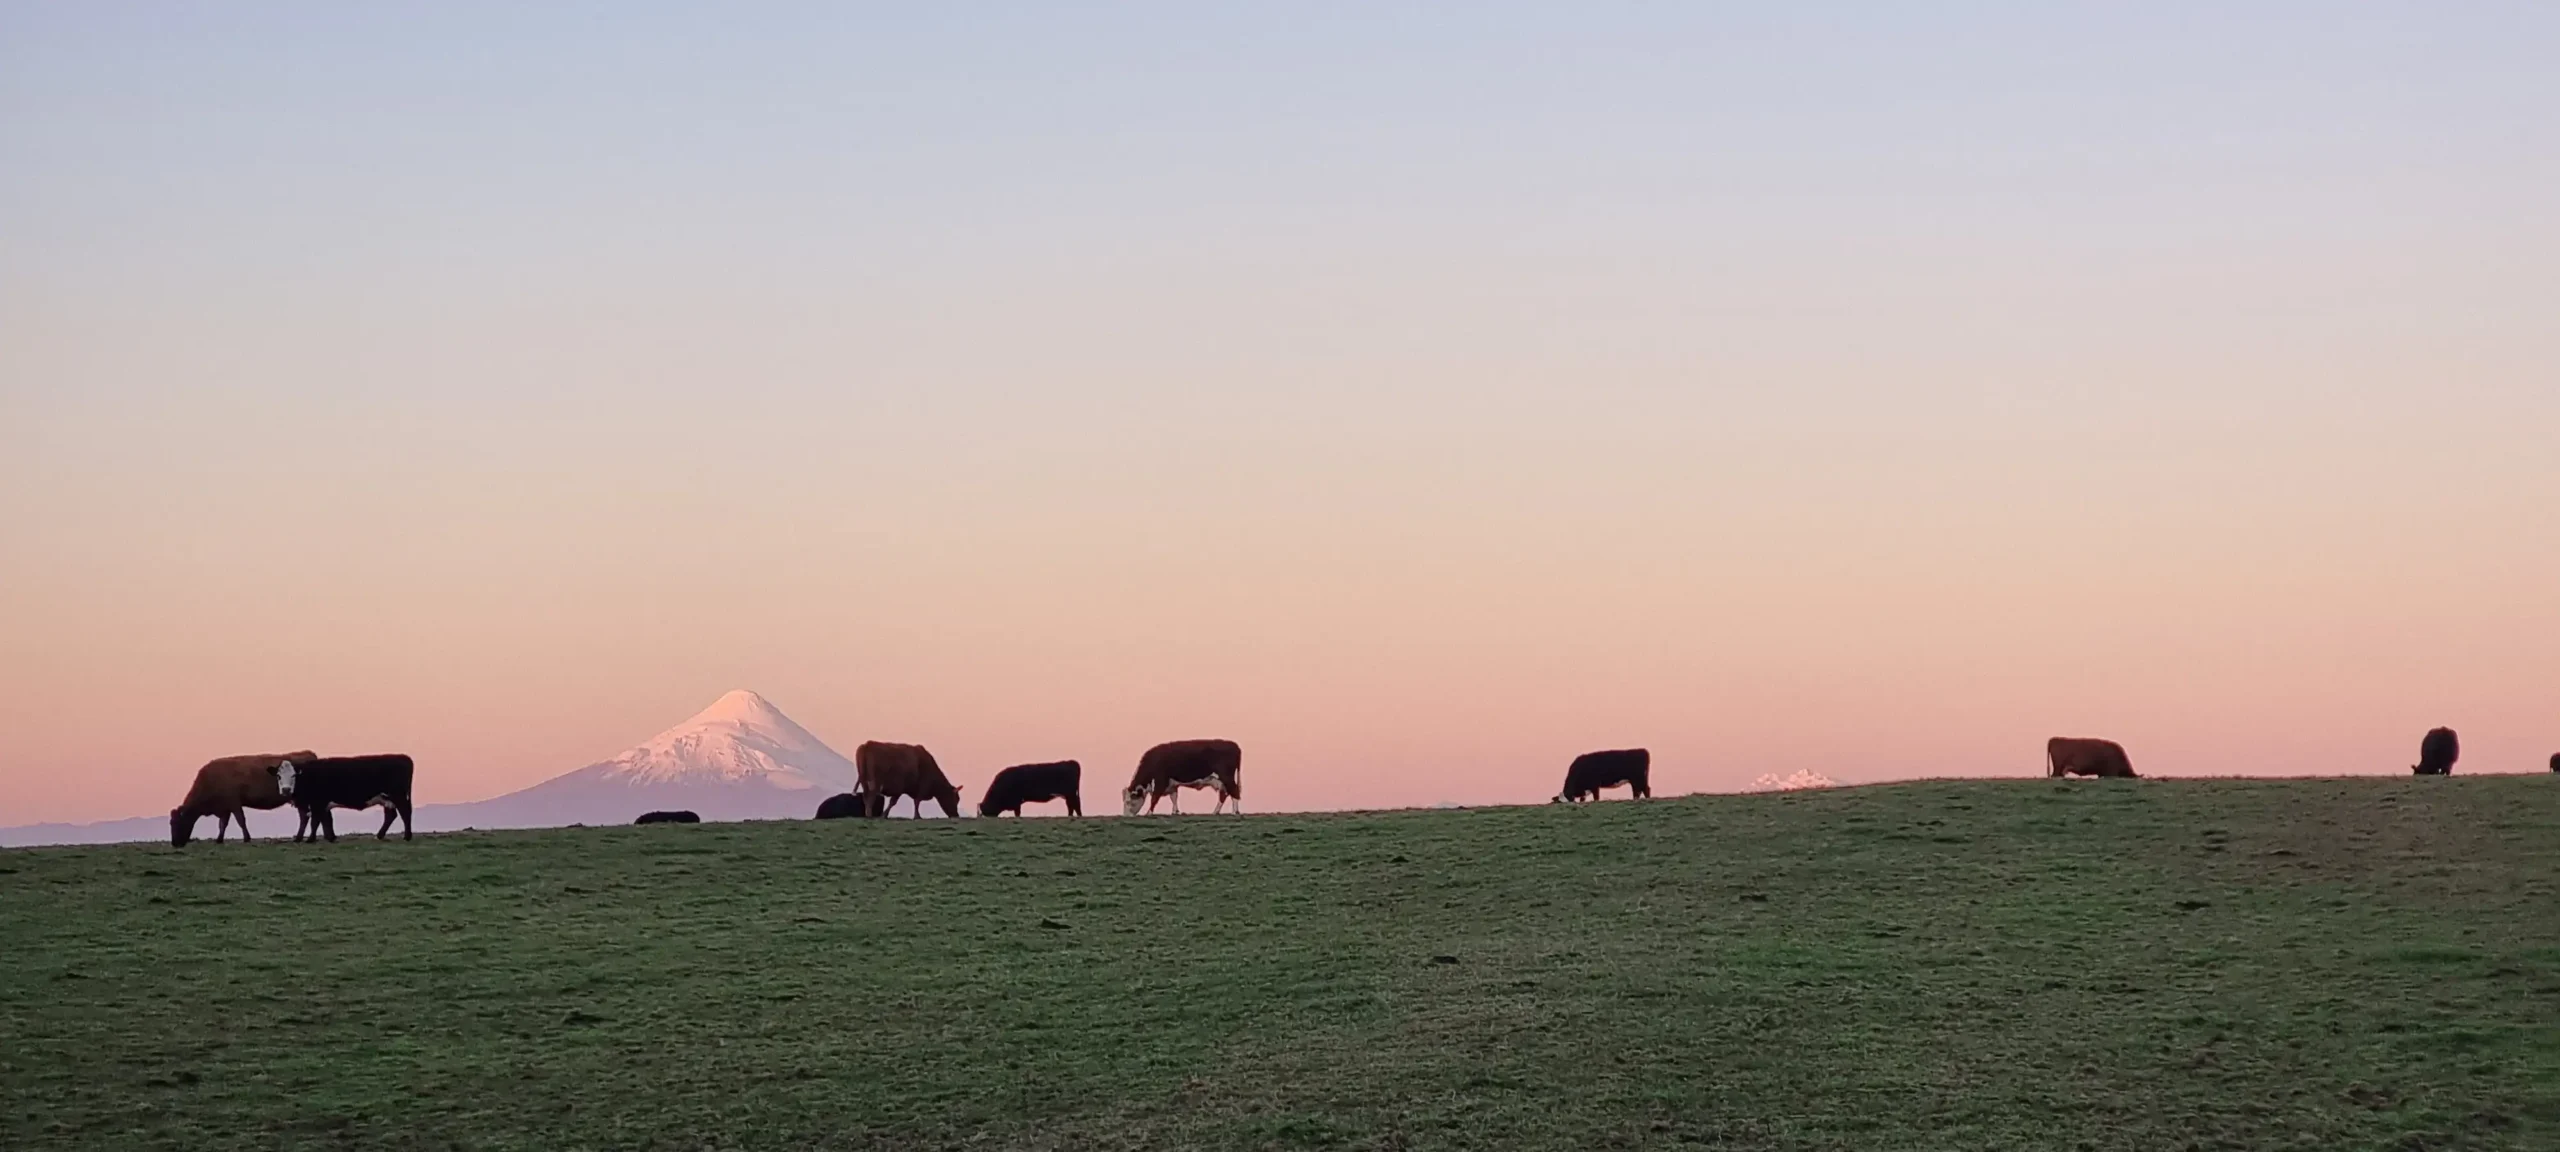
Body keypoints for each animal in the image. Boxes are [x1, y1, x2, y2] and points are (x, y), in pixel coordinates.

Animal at [170, 752, 317, 849]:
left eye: (176, 823)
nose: (174, 843)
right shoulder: (225, 807)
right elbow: (222, 824)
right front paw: (219, 839)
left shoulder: (234, 804)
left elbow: (240, 820)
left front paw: (247, 838)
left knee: (304, 817)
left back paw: (299, 838)